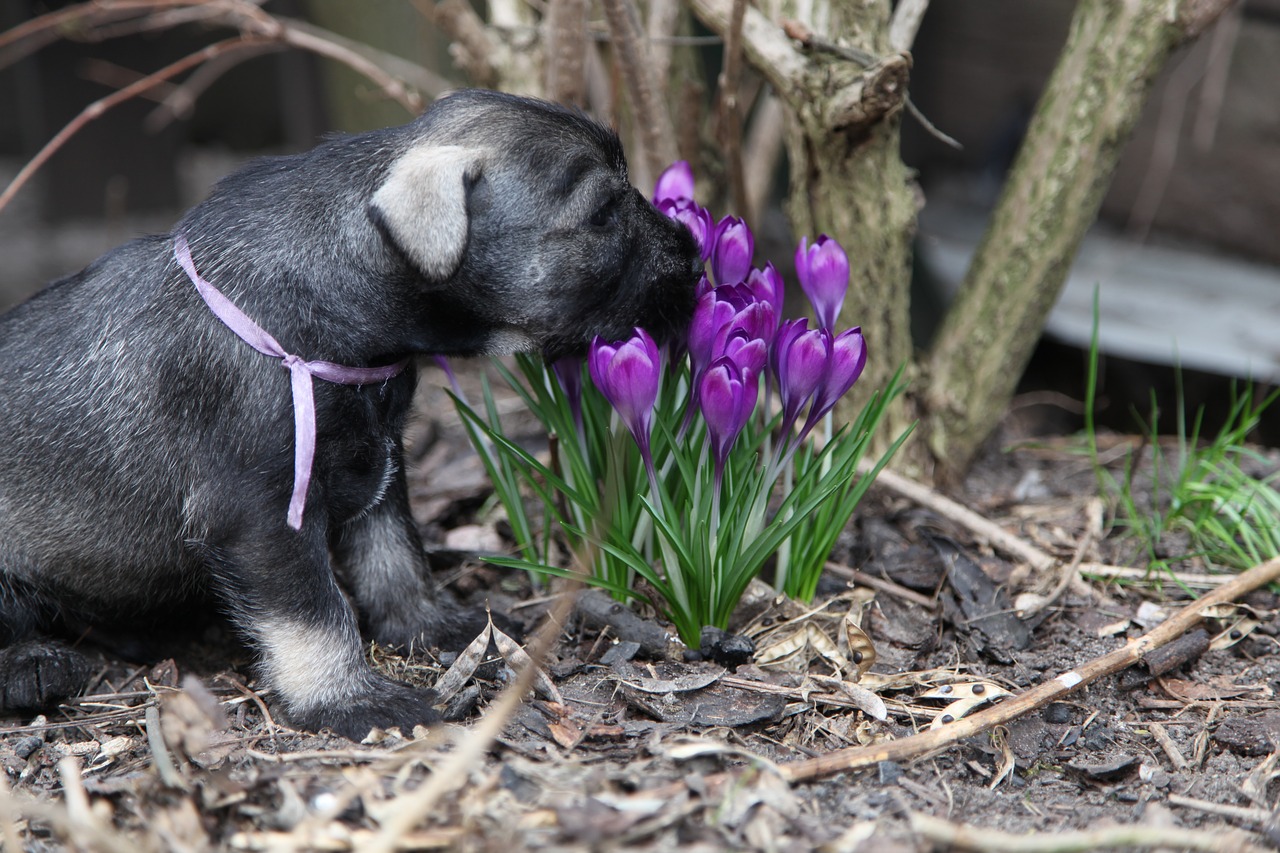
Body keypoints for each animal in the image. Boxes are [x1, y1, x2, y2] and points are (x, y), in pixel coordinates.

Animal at [0, 87, 701, 737]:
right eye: (604, 213)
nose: (693, 255)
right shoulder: (262, 515)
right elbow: (312, 614)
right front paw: (349, 700)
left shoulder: (378, 466)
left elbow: (395, 558)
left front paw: (431, 626)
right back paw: (36, 667)